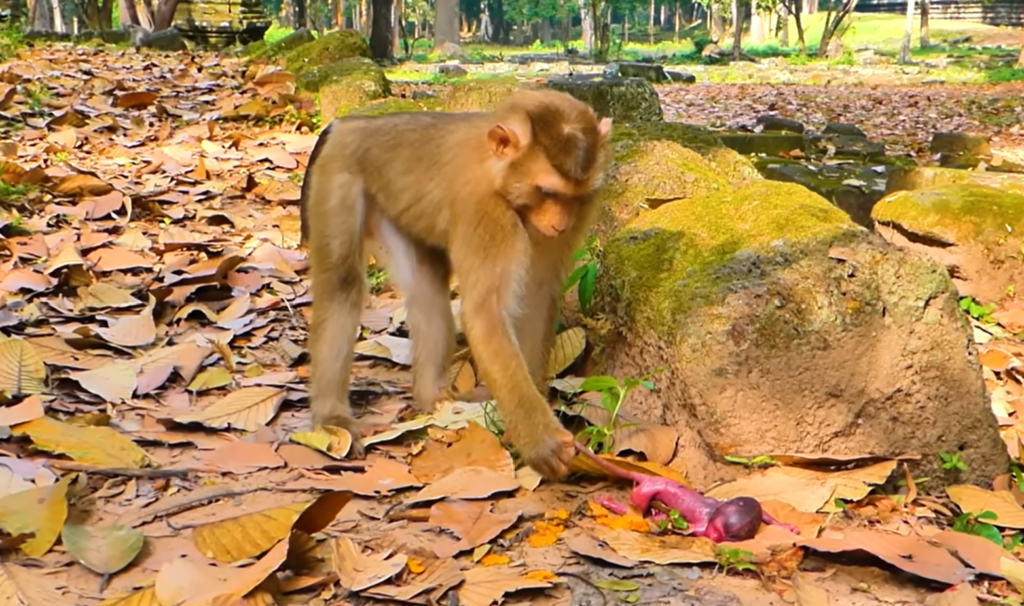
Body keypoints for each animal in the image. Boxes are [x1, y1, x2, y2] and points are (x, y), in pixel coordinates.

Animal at [299, 89, 613, 480]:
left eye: (575, 198)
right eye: (547, 191)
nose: (560, 223)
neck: (497, 174)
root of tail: (348, 123)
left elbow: (538, 293)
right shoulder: (487, 214)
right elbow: (485, 314)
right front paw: (540, 439)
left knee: (425, 288)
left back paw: (432, 398)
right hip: (339, 176)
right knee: (341, 284)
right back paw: (333, 418)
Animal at [574, 442, 800, 542]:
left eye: (722, 532)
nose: (715, 535)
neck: (715, 513)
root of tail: (649, 477)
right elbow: (764, 512)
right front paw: (787, 526)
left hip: (643, 490)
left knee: (636, 511)